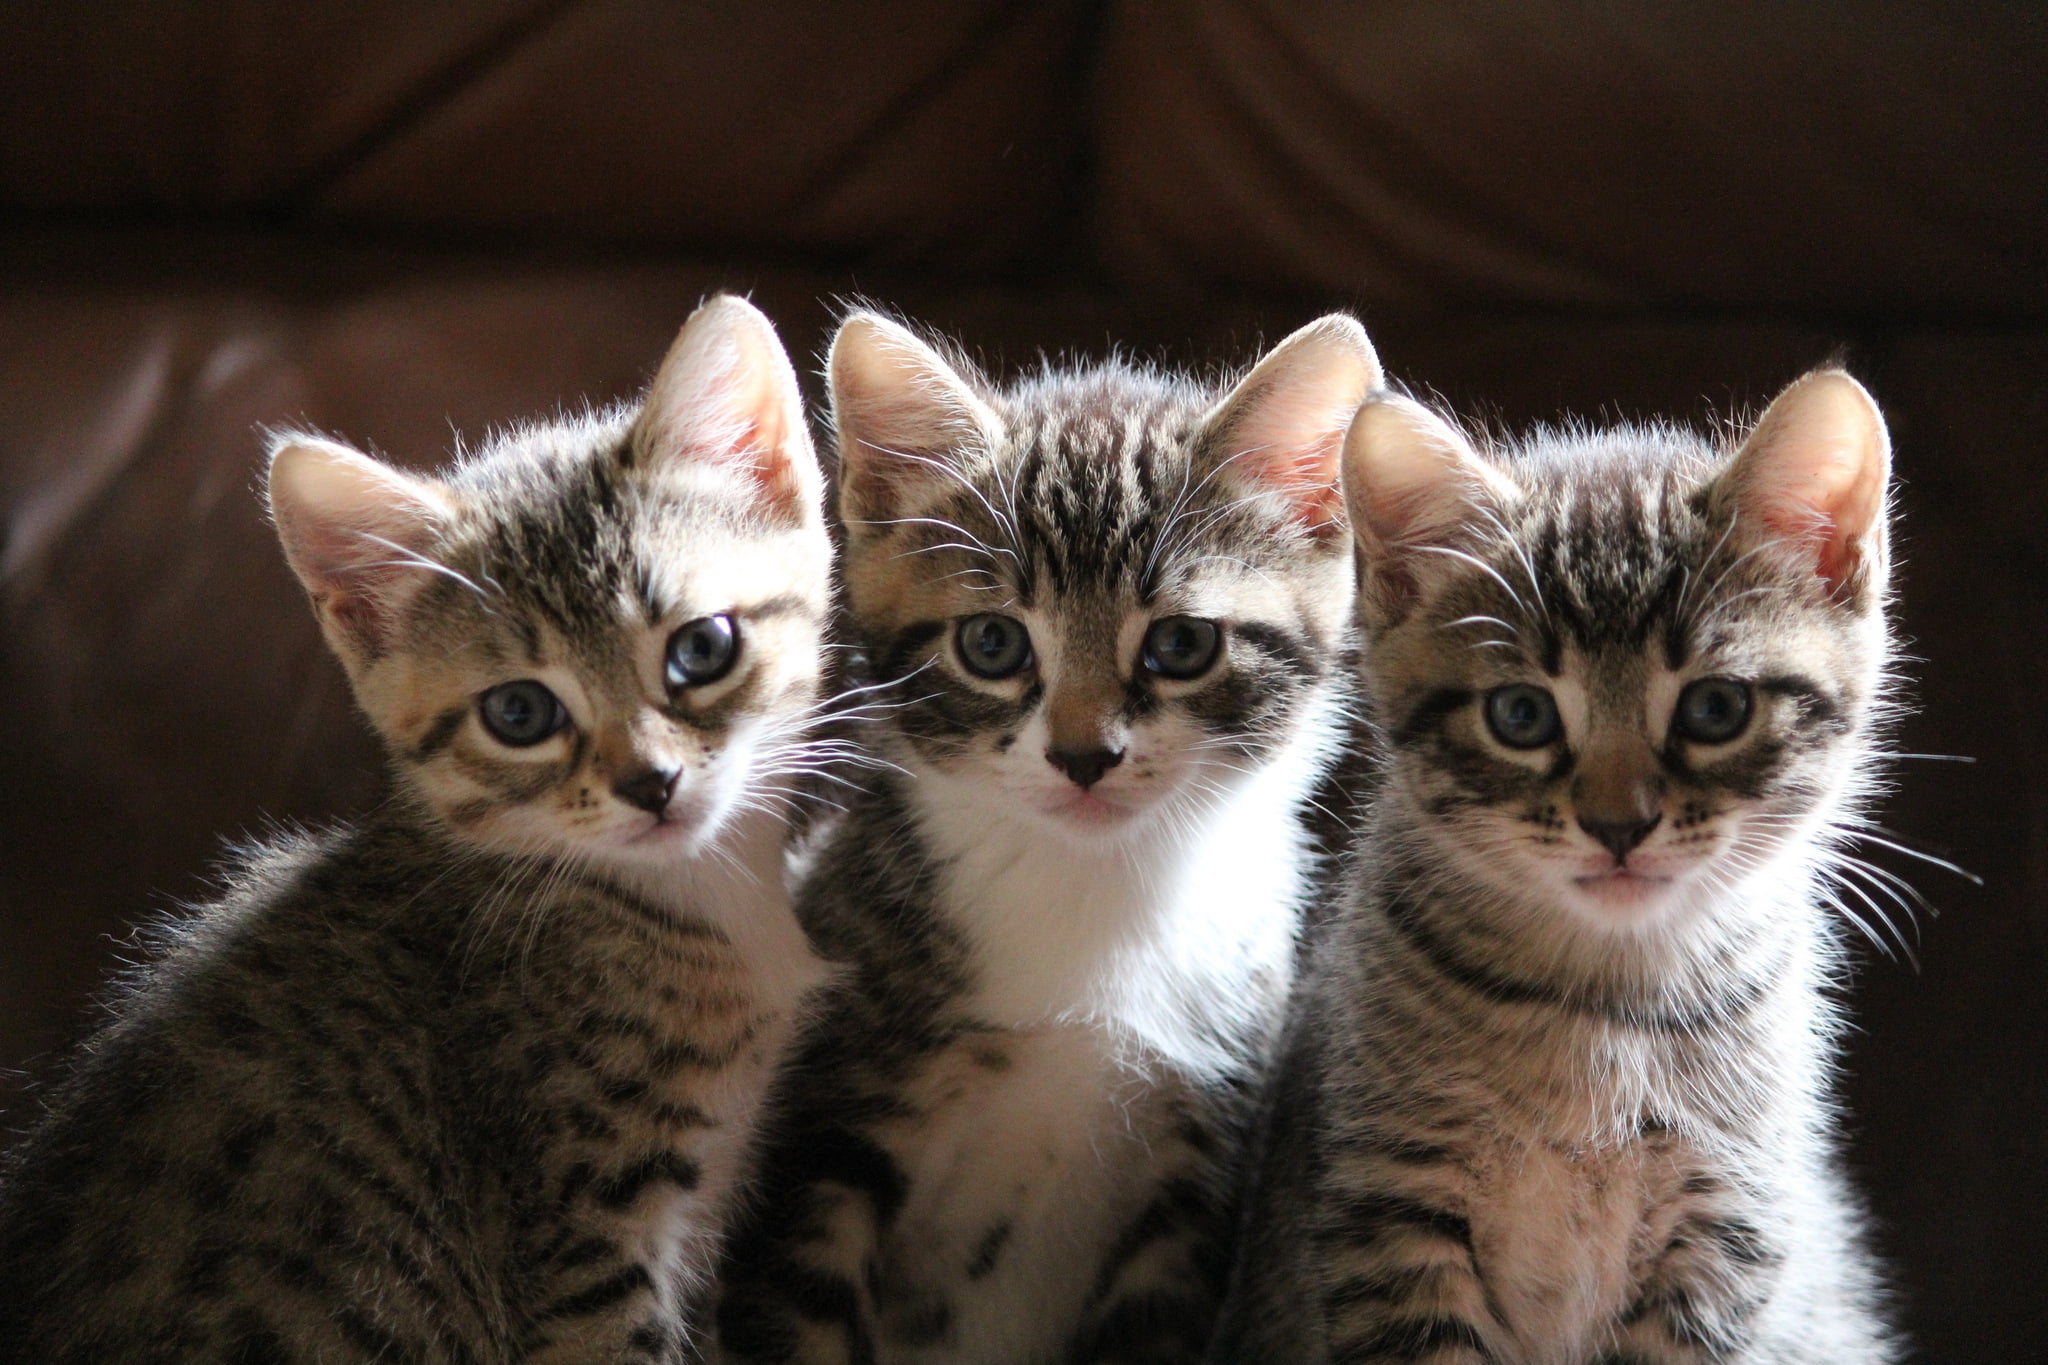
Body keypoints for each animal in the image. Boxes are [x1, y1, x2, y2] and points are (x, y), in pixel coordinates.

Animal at [716, 313, 1376, 1365]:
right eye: (993, 644)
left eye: (1181, 645)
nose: (1082, 756)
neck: (1092, 889)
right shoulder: (821, 1137)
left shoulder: (1195, 1168)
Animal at [1212, 374, 1900, 1365]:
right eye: (1522, 715)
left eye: (1716, 707)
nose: (1619, 824)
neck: (1607, 1009)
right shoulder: (1393, 1217)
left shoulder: (1723, 1231)